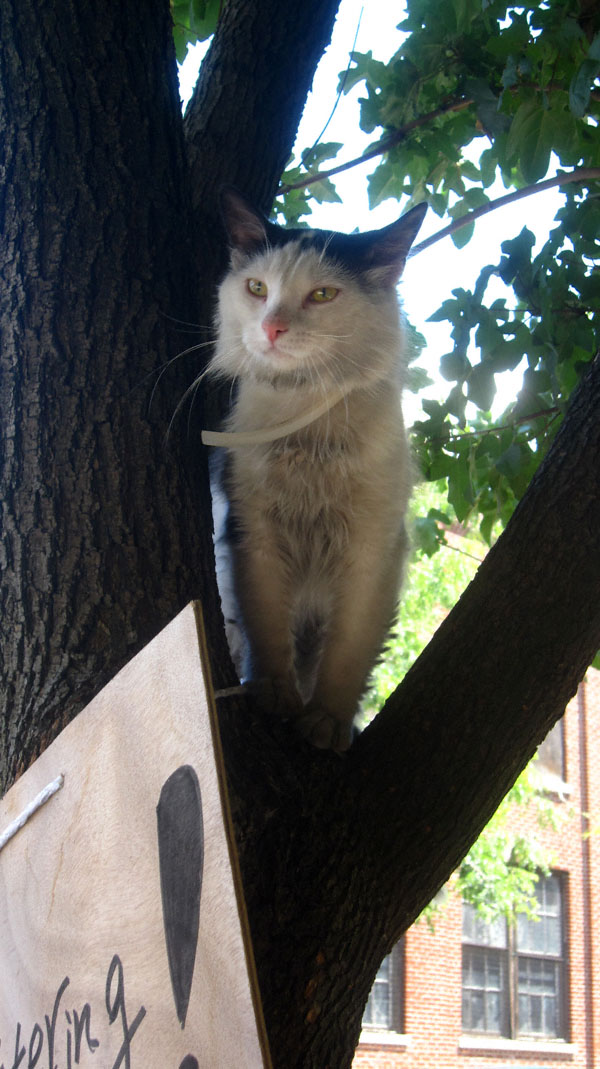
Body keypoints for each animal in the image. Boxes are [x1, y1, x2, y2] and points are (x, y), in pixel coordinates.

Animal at [205, 188, 426, 751]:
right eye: (257, 289)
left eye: (323, 296)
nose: (272, 328)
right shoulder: (253, 535)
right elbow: (268, 627)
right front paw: (274, 694)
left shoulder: (373, 551)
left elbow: (348, 652)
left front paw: (326, 720)